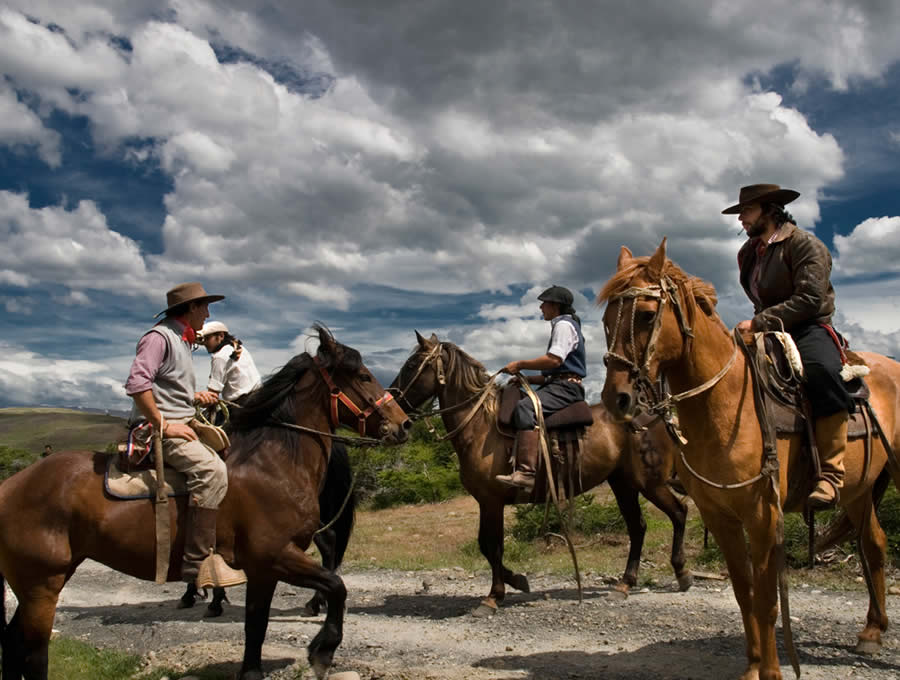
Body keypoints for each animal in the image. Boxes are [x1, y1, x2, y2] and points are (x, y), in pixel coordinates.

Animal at [0, 326, 408, 676]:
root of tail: (11, 486)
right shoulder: (274, 556)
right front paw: (323, 649)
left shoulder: (265, 567)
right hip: (41, 583)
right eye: (362, 376)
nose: (404, 424)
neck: (274, 460)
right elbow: (336, 588)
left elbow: (258, 628)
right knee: (32, 651)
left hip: (41, 581)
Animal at [390, 332, 692, 612]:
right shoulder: (486, 501)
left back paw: (682, 573)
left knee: (678, 513)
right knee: (638, 527)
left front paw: (493, 597)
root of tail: (656, 414)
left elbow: (493, 546)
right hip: (623, 484)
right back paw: (625, 584)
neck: (480, 425)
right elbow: (485, 546)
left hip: (649, 483)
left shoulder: (491, 501)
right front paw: (517, 580)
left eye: (412, 364)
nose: (392, 406)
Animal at [596, 240, 900, 680]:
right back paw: (872, 632)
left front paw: (771, 671)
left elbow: (767, 600)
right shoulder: (719, 515)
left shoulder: (763, 516)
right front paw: (753, 666)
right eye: (606, 319)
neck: (722, 404)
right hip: (858, 491)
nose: (615, 398)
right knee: (873, 544)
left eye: (648, 315)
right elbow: (744, 593)